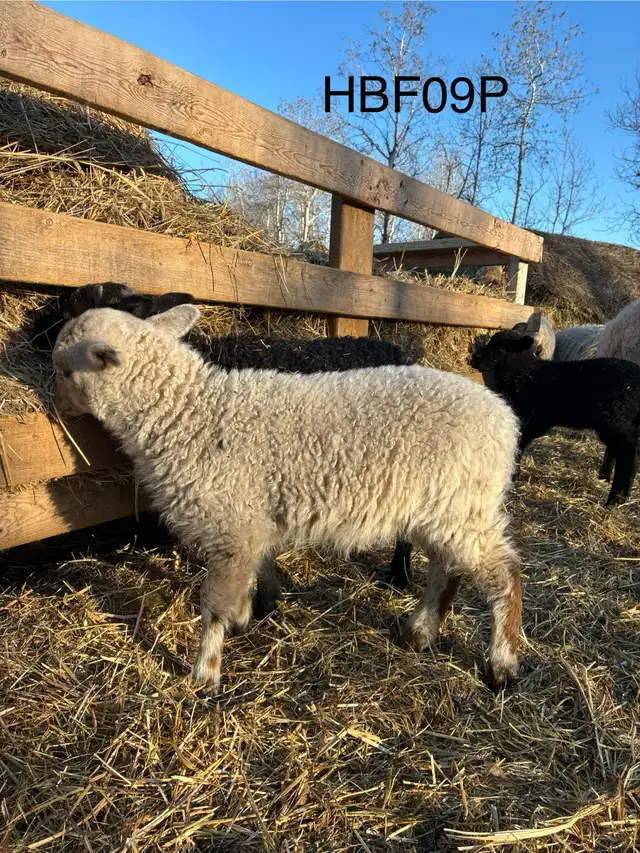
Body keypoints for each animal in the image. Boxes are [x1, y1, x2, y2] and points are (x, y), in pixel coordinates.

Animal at [53, 305, 523, 690]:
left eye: (65, 370)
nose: (58, 406)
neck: (189, 414)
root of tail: (502, 417)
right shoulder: (249, 522)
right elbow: (250, 576)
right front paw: (247, 617)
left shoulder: (231, 523)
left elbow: (215, 604)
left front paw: (205, 673)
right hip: (443, 508)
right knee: (448, 568)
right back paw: (419, 634)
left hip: (464, 504)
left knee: (503, 573)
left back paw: (501, 664)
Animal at [470, 330, 640, 506]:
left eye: (501, 347)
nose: (474, 358)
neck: (525, 373)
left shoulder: (524, 419)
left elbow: (518, 446)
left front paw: (512, 476)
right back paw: (605, 478)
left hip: (616, 420)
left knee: (628, 455)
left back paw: (615, 498)